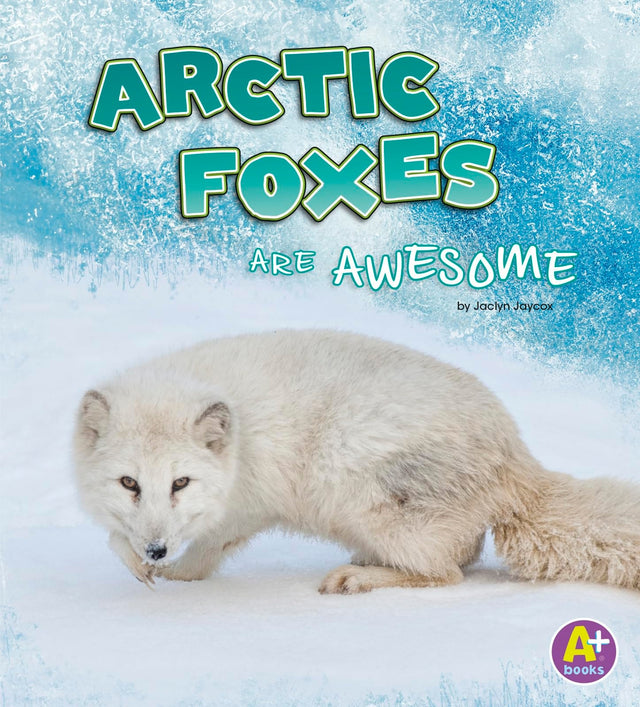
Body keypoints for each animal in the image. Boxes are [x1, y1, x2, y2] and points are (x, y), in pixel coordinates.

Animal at [73, 330, 640, 593]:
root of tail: (517, 456)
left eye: (181, 483)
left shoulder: (248, 507)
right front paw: (142, 566)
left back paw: (358, 579)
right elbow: (113, 537)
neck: (242, 438)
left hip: (355, 483)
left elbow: (204, 551)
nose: (156, 548)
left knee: (446, 575)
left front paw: (171, 577)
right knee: (461, 559)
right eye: (129, 483)